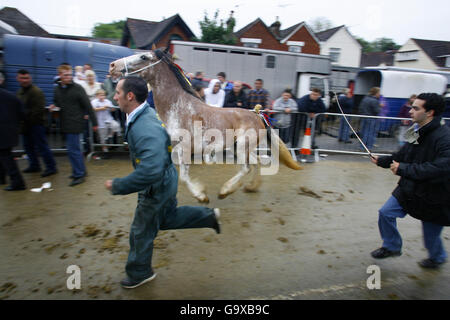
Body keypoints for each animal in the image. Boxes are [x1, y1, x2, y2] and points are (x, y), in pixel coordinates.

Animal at [109, 47, 302, 202]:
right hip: (238, 147)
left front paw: (201, 196)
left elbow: (184, 177)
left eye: (143, 57)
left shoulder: (185, 148)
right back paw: (251, 187)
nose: (112, 66)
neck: (178, 107)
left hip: (241, 148)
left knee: (247, 167)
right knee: (257, 162)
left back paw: (225, 191)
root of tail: (258, 115)